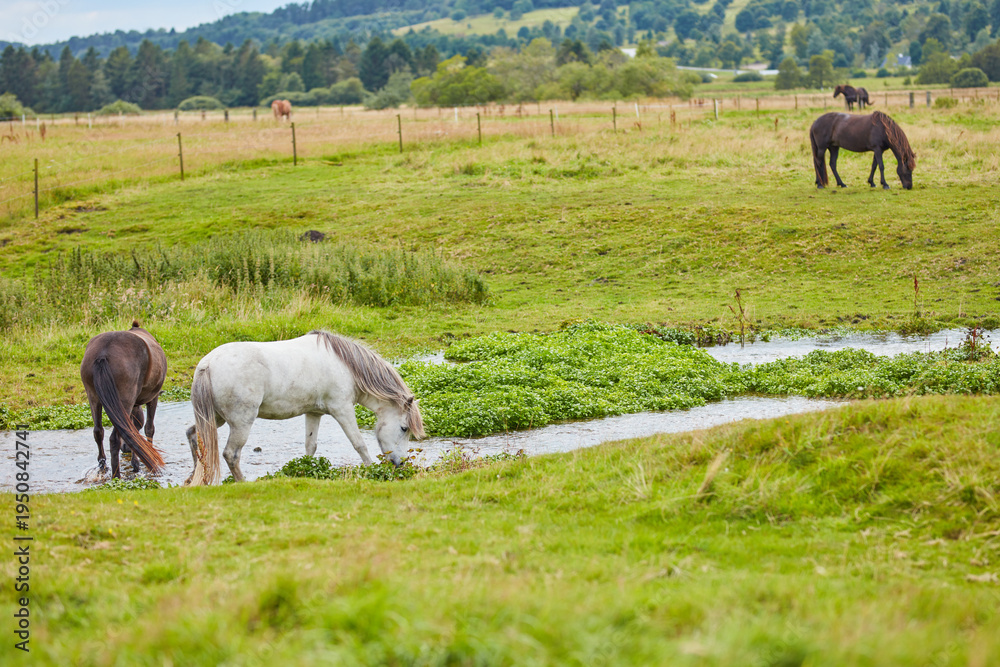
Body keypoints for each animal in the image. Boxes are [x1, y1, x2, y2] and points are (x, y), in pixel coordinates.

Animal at [80, 321, 167, 478]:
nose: (125, 449)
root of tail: (103, 353)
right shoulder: (153, 398)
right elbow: (148, 428)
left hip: (93, 397)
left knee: (98, 432)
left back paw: (103, 466)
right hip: (125, 400)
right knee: (115, 437)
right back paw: (116, 476)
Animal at [185, 331, 425, 485]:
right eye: (404, 428)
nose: (400, 464)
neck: (345, 366)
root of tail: (208, 364)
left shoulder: (314, 413)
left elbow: (310, 446)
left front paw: (307, 471)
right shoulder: (342, 410)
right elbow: (359, 444)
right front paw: (371, 470)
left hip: (213, 419)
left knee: (194, 436)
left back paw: (195, 478)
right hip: (241, 423)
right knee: (231, 454)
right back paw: (242, 482)